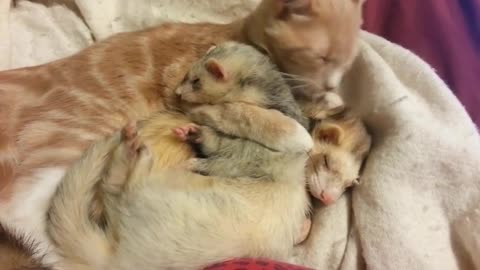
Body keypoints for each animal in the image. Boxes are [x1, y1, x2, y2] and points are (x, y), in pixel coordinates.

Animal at [0, 0, 364, 266]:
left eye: (347, 62)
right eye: (321, 57)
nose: (333, 84)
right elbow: (252, 116)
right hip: (72, 142)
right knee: (21, 208)